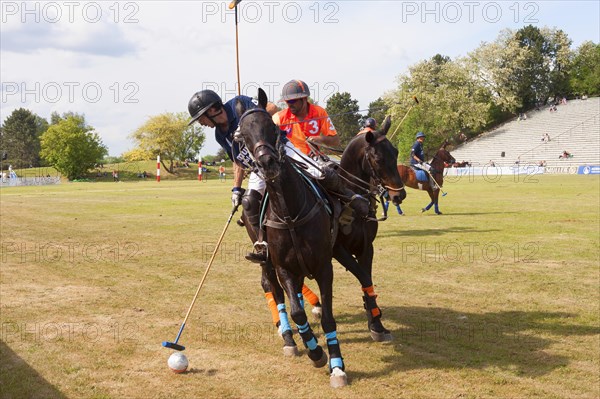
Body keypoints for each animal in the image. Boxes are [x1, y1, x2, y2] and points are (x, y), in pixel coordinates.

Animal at [234, 89, 346, 390]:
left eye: (273, 128)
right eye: (241, 136)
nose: (267, 163)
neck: (290, 213)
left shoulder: (324, 267)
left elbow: (328, 317)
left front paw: (337, 366)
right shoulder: (284, 266)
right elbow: (296, 312)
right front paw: (315, 352)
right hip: (268, 261)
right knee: (272, 287)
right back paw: (289, 339)